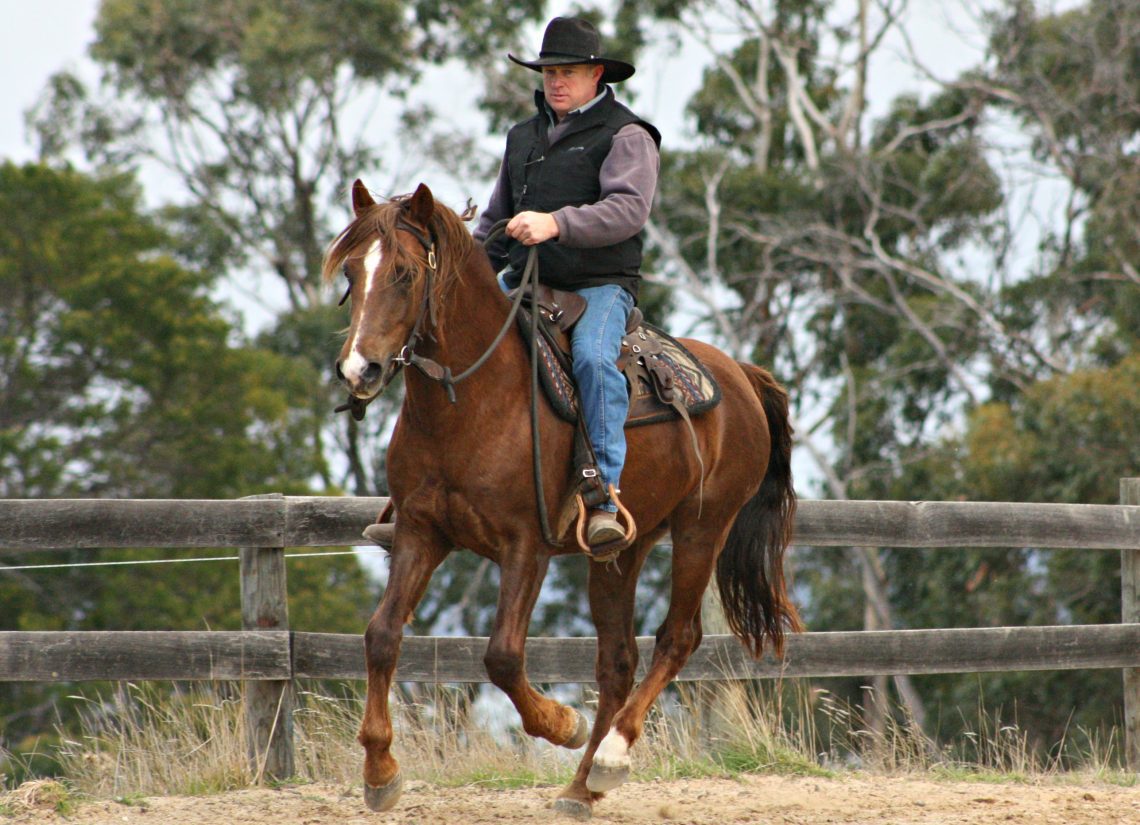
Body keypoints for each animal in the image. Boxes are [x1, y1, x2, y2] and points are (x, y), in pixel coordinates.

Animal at [323, 180, 802, 820]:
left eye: (403, 272)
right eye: (352, 271)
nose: (360, 369)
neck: (473, 401)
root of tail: (741, 376)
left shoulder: (526, 545)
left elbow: (502, 656)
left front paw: (560, 723)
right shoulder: (421, 533)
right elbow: (380, 636)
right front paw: (380, 771)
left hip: (704, 528)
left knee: (678, 638)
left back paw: (611, 757)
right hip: (623, 550)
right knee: (617, 661)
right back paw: (581, 787)